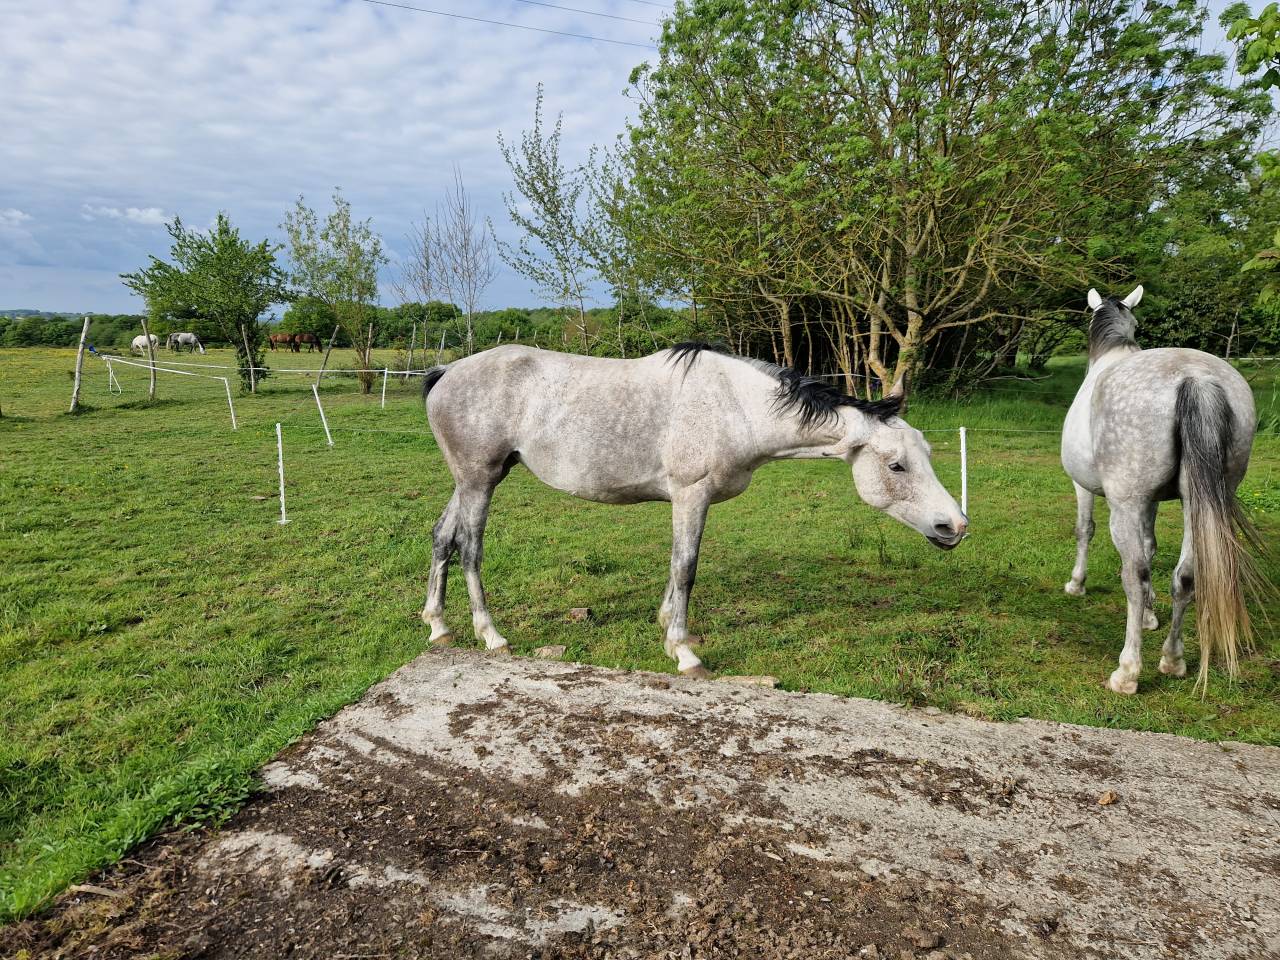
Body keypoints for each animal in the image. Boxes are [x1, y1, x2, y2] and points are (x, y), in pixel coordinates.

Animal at [420, 342, 968, 678]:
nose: (955, 525)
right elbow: (686, 567)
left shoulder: (687, 502)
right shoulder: (691, 495)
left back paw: (439, 627)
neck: (736, 406)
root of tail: (448, 372)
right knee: (470, 547)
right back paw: (491, 635)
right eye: (896, 466)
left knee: (443, 536)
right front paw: (685, 653)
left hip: (473, 480)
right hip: (479, 481)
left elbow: (675, 568)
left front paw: (666, 627)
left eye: (927, 454)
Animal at [1061, 285, 1262, 694]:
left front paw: (1077, 583)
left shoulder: (1087, 489)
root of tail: (1196, 378)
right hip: (1197, 503)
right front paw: (1151, 617)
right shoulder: (1151, 502)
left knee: (1133, 576)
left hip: (1124, 507)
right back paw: (1172, 659)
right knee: (1186, 576)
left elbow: (1085, 531)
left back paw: (1128, 672)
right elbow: (1151, 547)